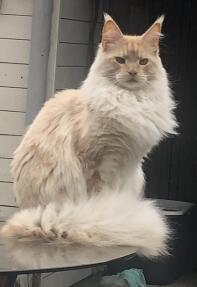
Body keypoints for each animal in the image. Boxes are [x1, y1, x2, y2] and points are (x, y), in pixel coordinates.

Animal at [0, 14, 177, 258]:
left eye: (143, 62)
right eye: (120, 60)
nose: (132, 73)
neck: (129, 100)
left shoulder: (128, 165)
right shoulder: (97, 162)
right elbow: (100, 197)